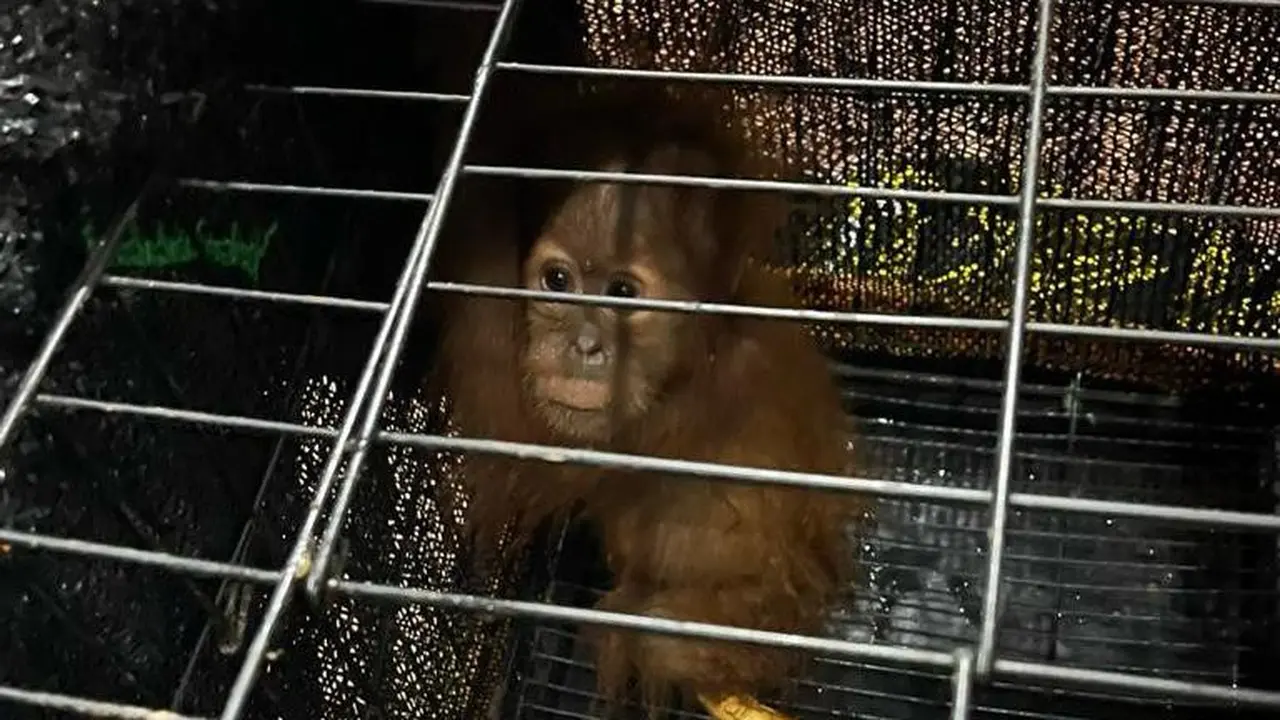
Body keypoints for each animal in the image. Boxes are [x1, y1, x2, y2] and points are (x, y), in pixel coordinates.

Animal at [429, 82, 866, 716]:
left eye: (622, 292)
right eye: (557, 282)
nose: (585, 347)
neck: (703, 349)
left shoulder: (662, 422)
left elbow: (514, 420)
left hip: (758, 619)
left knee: (664, 635)